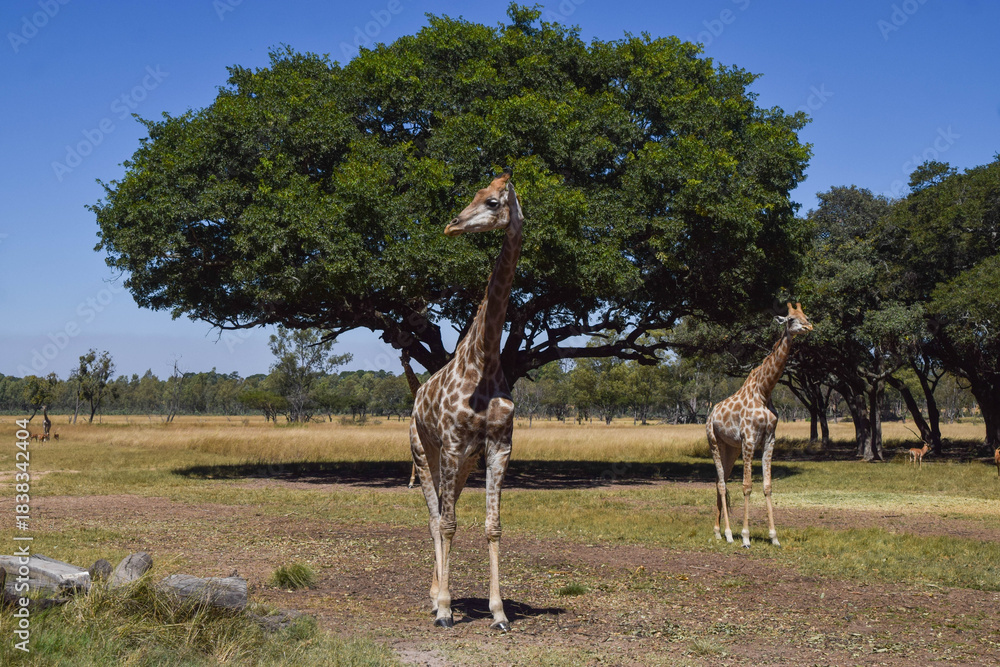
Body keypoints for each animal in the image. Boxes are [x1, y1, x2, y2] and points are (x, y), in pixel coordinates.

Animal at [706, 302, 813, 548]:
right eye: (791, 319)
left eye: (806, 315)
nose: (809, 327)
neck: (764, 391)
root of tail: (710, 414)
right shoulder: (749, 438)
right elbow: (747, 486)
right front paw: (745, 537)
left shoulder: (769, 439)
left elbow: (767, 486)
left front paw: (774, 537)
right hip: (714, 442)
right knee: (722, 483)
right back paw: (728, 534)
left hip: (730, 448)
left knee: (719, 480)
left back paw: (717, 531)